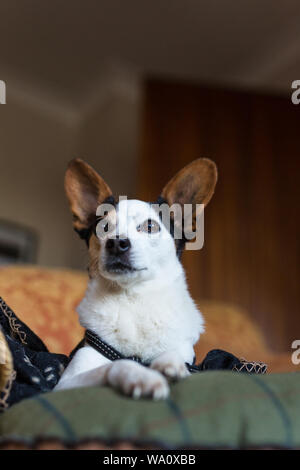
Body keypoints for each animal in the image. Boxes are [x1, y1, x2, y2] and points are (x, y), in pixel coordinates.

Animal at [54, 158, 217, 400]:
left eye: (150, 226)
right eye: (103, 227)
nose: (116, 243)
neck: (134, 297)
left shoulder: (183, 351)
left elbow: (172, 355)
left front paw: (169, 364)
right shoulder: (66, 384)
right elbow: (116, 365)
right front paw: (142, 376)